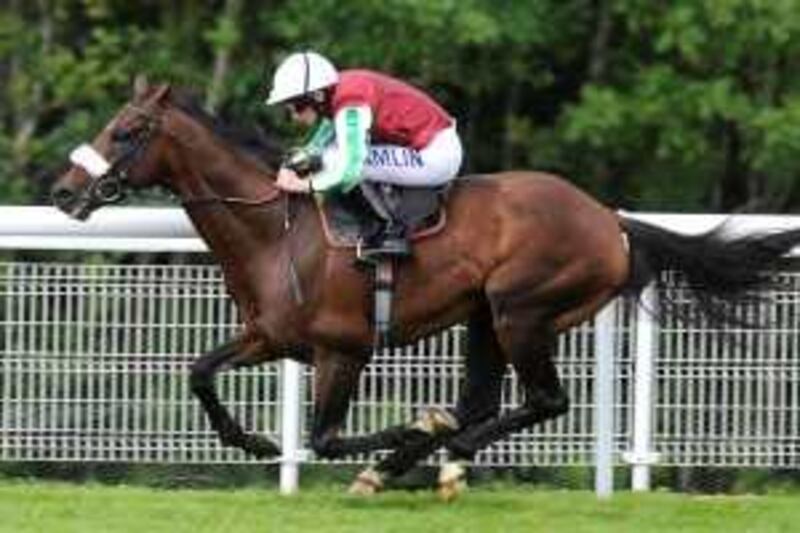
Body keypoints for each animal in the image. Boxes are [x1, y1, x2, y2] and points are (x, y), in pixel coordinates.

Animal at [48, 81, 800, 496]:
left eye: (125, 130)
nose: (62, 191)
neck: (276, 228)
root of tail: (610, 221)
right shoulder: (270, 336)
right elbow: (200, 371)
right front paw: (255, 442)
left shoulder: (342, 349)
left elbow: (326, 438)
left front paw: (408, 434)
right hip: (485, 318)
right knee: (483, 401)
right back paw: (425, 460)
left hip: (522, 309)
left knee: (542, 400)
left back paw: (433, 459)